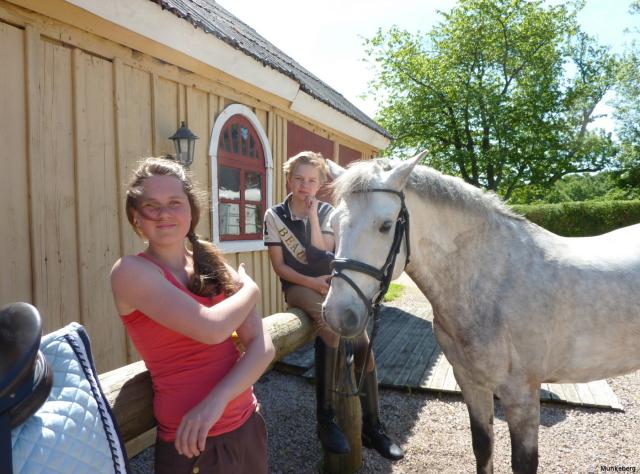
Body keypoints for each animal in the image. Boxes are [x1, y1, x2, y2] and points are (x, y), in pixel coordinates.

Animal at [322, 153, 640, 474]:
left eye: (385, 225)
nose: (338, 314)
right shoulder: (471, 382)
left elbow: (523, 462)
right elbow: (483, 447)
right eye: (333, 224)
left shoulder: (521, 394)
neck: (494, 281)